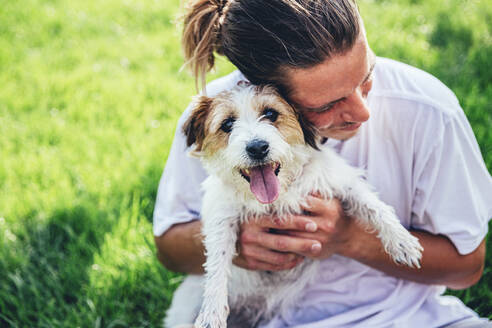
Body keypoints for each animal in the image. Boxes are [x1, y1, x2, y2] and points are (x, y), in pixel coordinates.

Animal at [162, 84, 422, 328]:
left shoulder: (339, 180)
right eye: (227, 124)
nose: (258, 147)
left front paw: (402, 242)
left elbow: (374, 206)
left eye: (270, 113)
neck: (279, 194)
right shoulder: (222, 218)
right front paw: (211, 313)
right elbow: (218, 261)